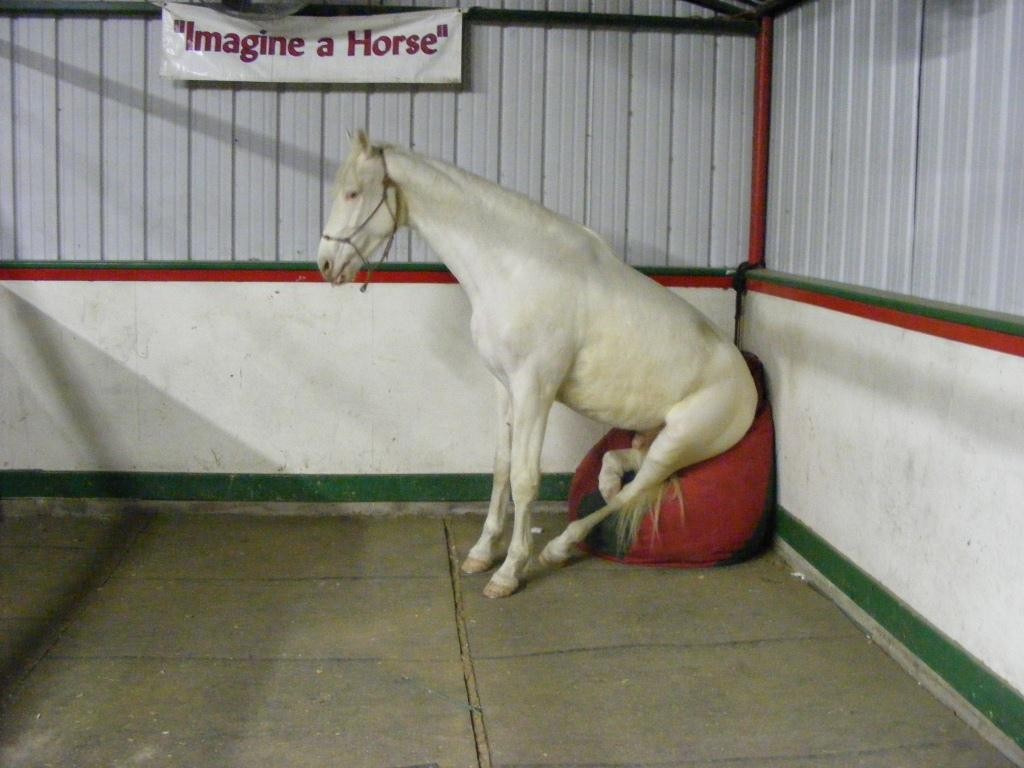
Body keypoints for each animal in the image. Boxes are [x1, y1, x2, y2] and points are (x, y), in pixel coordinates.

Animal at [318, 131, 757, 598]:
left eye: (352, 192)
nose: (324, 264)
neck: (516, 267)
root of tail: (748, 386)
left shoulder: (536, 389)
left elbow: (525, 479)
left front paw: (509, 570)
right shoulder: (503, 386)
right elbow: (501, 466)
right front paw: (481, 552)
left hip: (678, 442)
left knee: (636, 489)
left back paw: (559, 547)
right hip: (651, 436)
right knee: (623, 466)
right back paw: (602, 484)